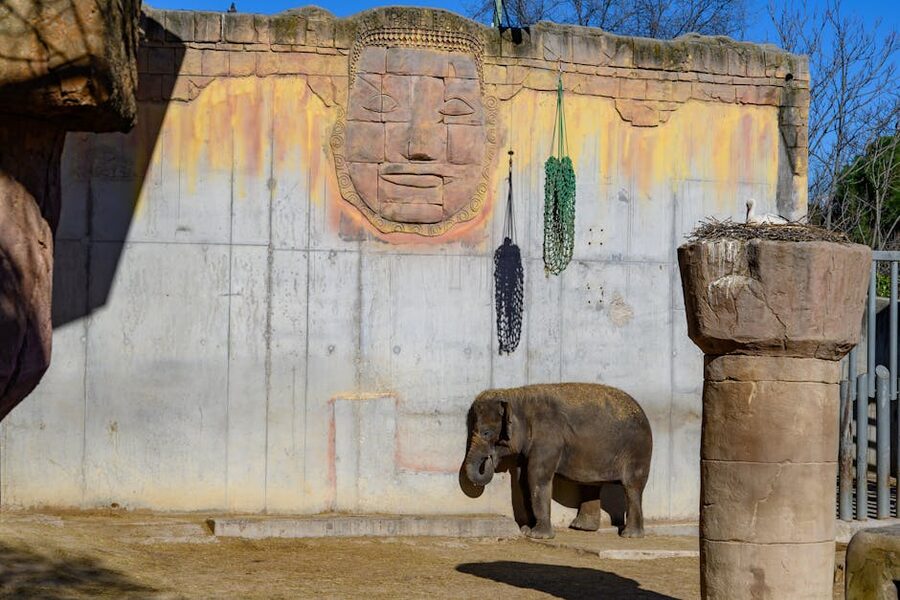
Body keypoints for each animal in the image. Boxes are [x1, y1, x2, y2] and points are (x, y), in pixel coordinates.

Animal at [461, 383, 652, 539]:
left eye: (486, 433)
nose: (490, 459)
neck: (516, 396)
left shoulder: (548, 438)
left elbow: (536, 476)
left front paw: (539, 536)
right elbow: (522, 479)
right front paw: (526, 530)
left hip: (638, 450)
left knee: (632, 487)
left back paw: (630, 535)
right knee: (592, 485)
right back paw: (582, 528)